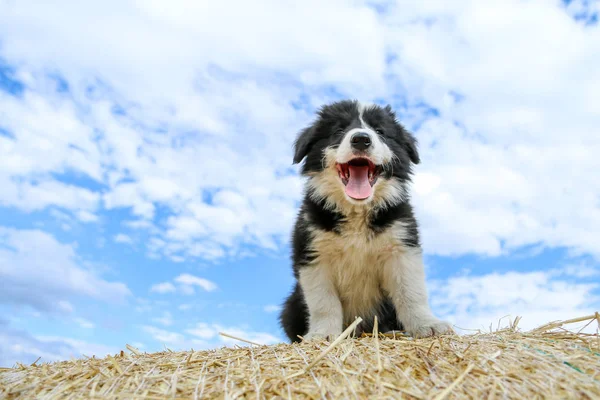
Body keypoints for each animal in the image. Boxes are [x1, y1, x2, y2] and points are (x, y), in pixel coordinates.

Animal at [278, 99, 452, 340]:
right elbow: (323, 302)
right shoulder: (313, 254)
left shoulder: (401, 247)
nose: (361, 139)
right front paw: (323, 335)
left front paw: (427, 324)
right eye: (338, 131)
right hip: (291, 304)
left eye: (380, 131)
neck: (357, 211)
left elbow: (411, 291)